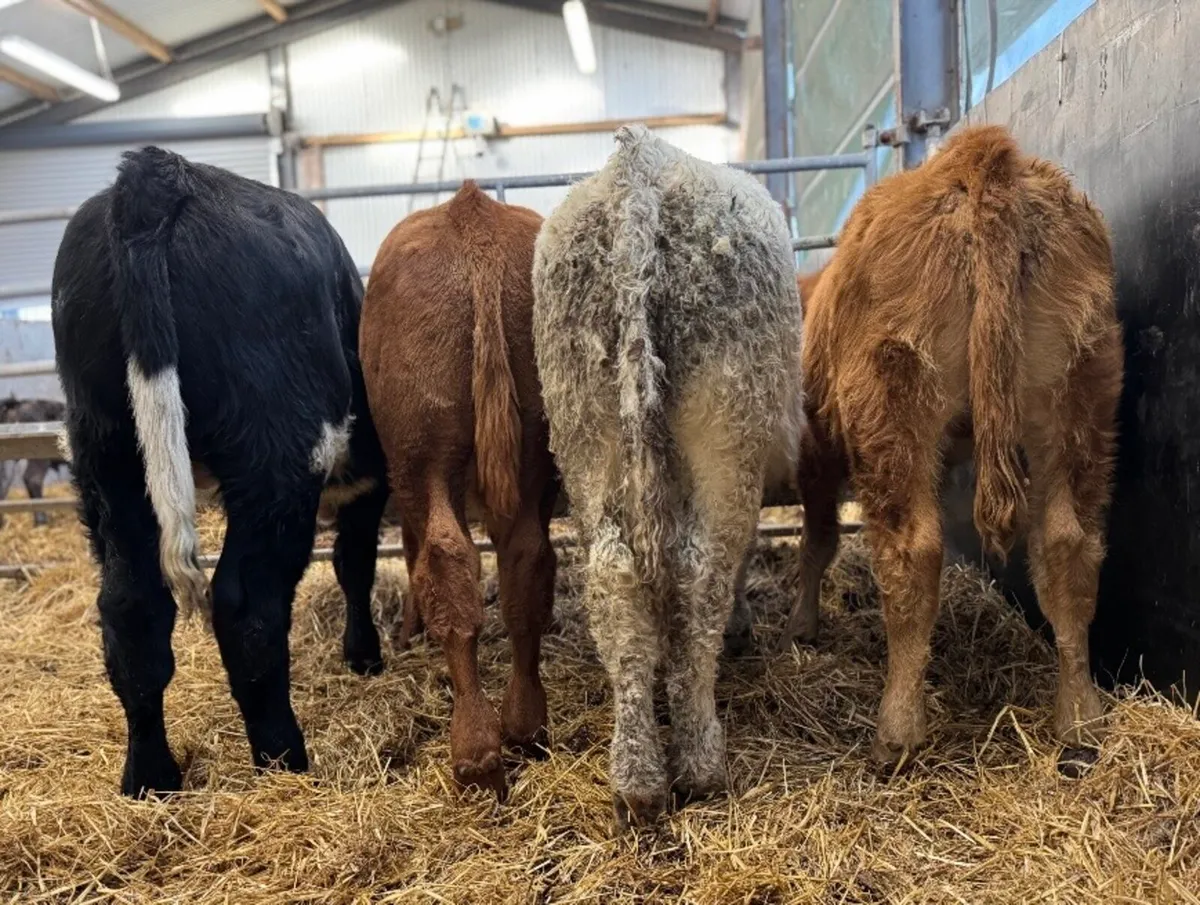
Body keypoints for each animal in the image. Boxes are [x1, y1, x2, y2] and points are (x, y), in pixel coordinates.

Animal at [52, 147, 389, 798]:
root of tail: (164, 170)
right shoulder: (368, 483)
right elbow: (354, 565)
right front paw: (364, 657)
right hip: (275, 459)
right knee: (246, 606)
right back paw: (284, 761)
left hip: (108, 456)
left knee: (132, 609)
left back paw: (150, 779)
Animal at [360, 182, 558, 798]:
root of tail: (473, 217)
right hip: (532, 451)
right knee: (526, 569)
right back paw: (525, 725)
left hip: (423, 459)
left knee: (446, 559)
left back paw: (476, 753)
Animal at [532, 125, 802, 828]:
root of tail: (639, 163)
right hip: (728, 430)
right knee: (702, 578)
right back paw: (702, 762)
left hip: (584, 424)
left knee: (615, 584)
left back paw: (637, 778)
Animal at [780, 124, 1123, 768]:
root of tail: (979, 161)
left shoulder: (815, 449)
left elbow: (818, 541)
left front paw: (802, 624)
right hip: (1078, 391)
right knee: (1068, 545)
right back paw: (1079, 720)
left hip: (893, 403)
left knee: (912, 552)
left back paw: (896, 732)